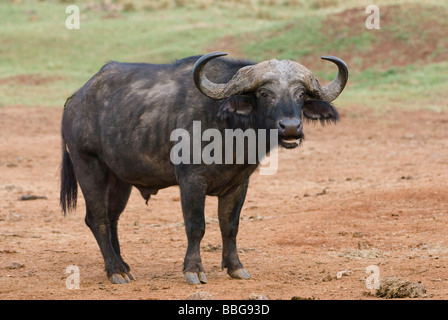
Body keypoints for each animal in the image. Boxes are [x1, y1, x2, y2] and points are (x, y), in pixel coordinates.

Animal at [59, 52, 348, 284]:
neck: (229, 129)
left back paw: (123, 266)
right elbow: (196, 226)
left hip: (120, 178)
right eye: (265, 93)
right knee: (96, 219)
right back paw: (115, 271)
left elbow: (230, 225)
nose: (290, 127)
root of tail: (75, 100)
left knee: (113, 218)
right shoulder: (191, 181)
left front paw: (235, 267)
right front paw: (194, 270)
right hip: (88, 165)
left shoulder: (239, 184)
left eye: (301, 94)